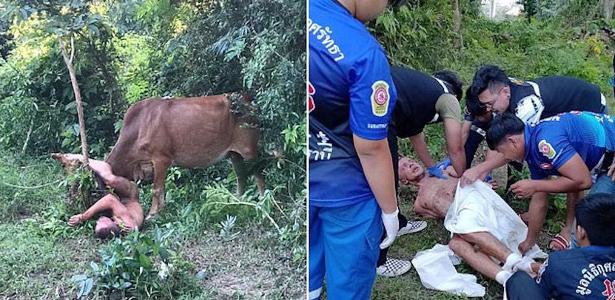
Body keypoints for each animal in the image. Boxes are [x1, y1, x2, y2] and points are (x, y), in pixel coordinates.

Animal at [54, 92, 264, 219]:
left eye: (79, 185)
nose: (69, 206)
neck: (138, 129)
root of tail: (250, 102)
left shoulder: (162, 159)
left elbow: (156, 189)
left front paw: (153, 213)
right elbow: (161, 190)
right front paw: (162, 209)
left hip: (249, 149)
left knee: (258, 174)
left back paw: (263, 201)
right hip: (233, 153)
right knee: (241, 176)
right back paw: (238, 200)